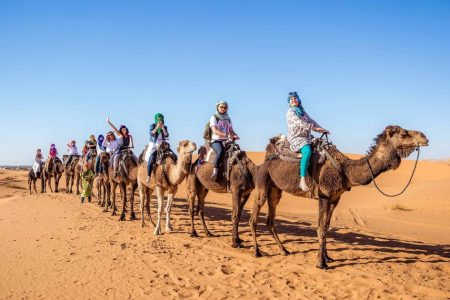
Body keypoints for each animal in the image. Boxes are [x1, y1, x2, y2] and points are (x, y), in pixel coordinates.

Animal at [250, 125, 428, 270]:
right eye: (404, 133)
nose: (424, 137)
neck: (346, 171)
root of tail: (266, 158)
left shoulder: (335, 198)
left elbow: (327, 227)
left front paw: (327, 257)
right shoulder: (324, 196)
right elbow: (321, 228)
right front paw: (321, 263)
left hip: (275, 190)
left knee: (270, 220)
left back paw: (284, 250)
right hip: (262, 182)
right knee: (254, 218)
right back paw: (257, 252)